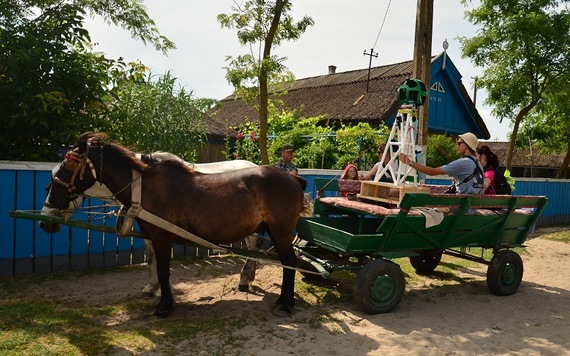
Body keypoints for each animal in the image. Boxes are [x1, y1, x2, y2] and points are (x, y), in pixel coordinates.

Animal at [43, 153, 258, 298]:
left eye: (61, 177)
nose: (45, 221)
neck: (140, 185)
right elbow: (150, 256)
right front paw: (152, 287)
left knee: (253, 246)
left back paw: (244, 279)